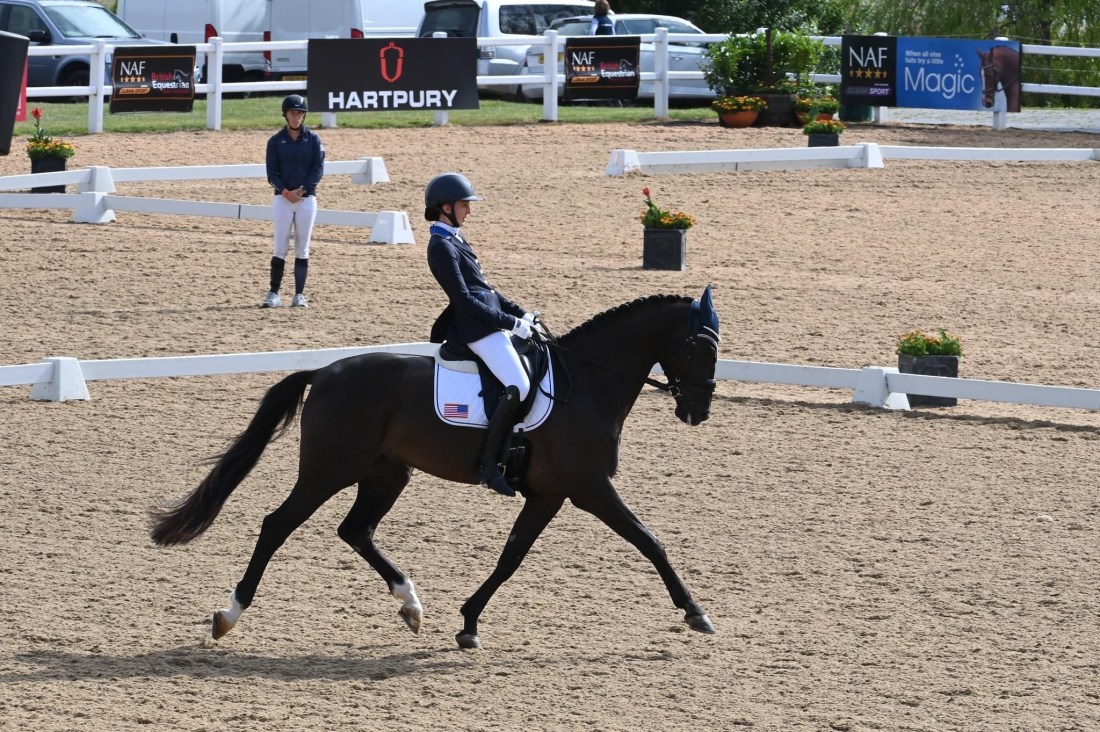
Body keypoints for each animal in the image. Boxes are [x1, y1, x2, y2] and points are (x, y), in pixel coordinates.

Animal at [152, 286, 721, 647]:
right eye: (701, 347)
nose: (698, 412)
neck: (584, 383)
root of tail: (325, 371)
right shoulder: (590, 488)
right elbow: (650, 541)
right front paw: (696, 613)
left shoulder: (549, 494)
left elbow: (511, 557)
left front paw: (468, 623)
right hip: (329, 470)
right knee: (277, 525)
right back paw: (228, 615)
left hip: (386, 472)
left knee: (355, 530)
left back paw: (411, 605)